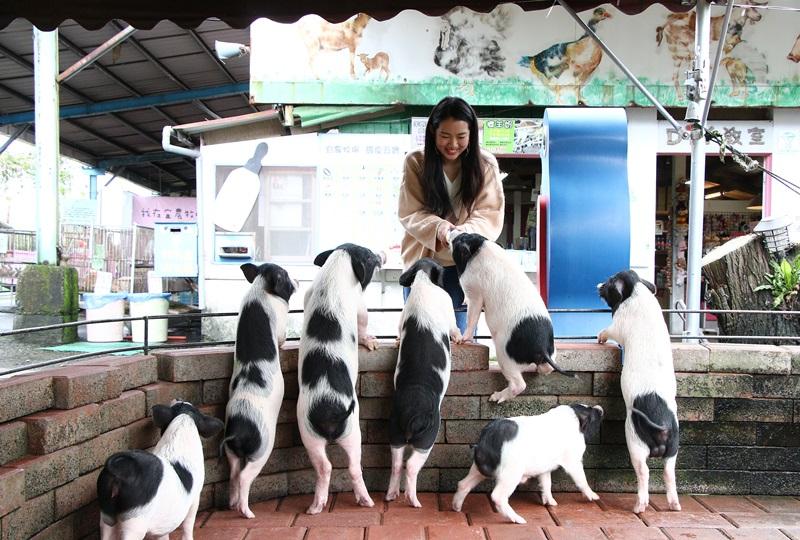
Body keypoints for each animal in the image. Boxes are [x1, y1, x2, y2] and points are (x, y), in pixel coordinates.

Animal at [222, 262, 296, 520]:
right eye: (286, 276)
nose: (297, 281)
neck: (260, 288)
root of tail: (238, 430)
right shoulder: (281, 319)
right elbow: (282, 336)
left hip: (231, 452)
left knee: (233, 473)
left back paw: (232, 504)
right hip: (262, 448)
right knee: (244, 476)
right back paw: (247, 513)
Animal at [296, 243, 384, 512]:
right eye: (369, 256)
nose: (380, 255)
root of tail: (328, 410)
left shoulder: (308, 294)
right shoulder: (360, 304)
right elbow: (363, 321)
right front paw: (371, 342)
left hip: (308, 432)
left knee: (324, 467)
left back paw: (315, 508)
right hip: (352, 431)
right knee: (354, 467)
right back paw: (366, 502)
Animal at [382, 258, 460, 506]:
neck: (423, 282)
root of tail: (411, 413)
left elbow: (398, 331)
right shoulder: (448, 309)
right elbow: (455, 327)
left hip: (394, 431)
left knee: (396, 463)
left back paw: (391, 496)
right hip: (428, 437)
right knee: (411, 466)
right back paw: (414, 502)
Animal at [450, 230, 568, 402]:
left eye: (459, 240)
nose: (452, 229)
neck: (480, 249)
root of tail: (541, 348)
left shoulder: (475, 293)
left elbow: (471, 316)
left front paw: (462, 340)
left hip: (504, 355)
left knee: (519, 385)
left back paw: (494, 397)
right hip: (551, 351)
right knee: (547, 369)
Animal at [454, 404, 604, 524]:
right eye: (591, 413)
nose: (599, 407)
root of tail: (486, 441)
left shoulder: (544, 469)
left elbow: (546, 483)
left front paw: (552, 503)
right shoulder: (573, 460)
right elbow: (581, 478)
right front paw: (595, 496)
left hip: (477, 468)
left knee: (463, 484)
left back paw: (456, 508)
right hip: (510, 473)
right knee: (497, 496)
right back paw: (520, 520)